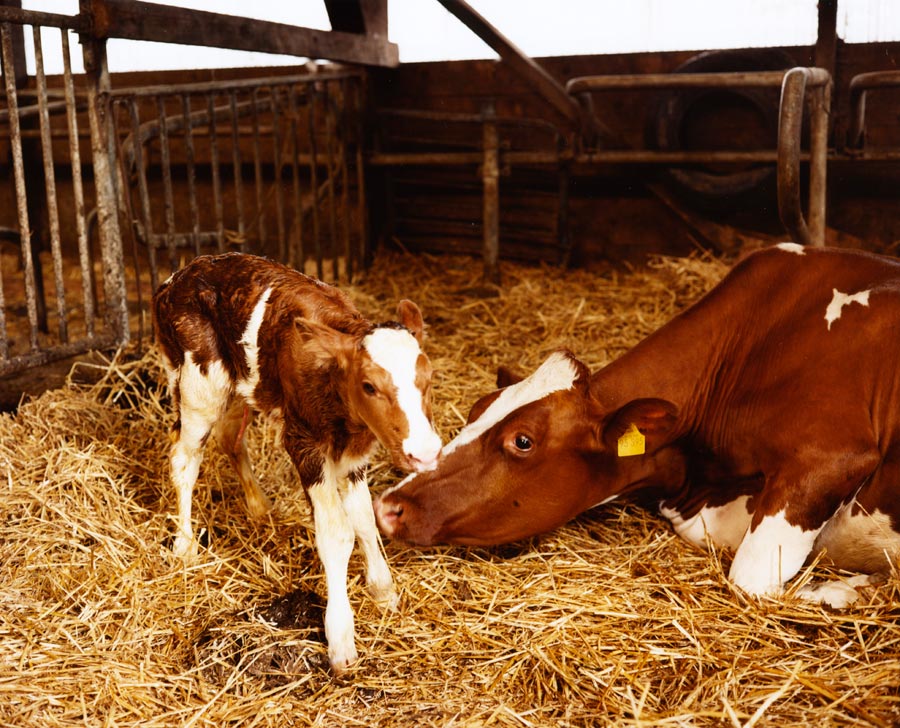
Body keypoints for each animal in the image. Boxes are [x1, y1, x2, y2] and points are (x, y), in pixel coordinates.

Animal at [154, 253, 442, 672]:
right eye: (369, 386)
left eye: (429, 378)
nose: (425, 452)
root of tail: (176, 277)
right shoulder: (303, 443)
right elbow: (337, 532)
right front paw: (341, 639)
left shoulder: (353, 455)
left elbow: (364, 520)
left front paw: (383, 591)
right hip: (198, 384)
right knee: (184, 458)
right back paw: (185, 545)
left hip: (240, 384)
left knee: (230, 437)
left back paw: (258, 508)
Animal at [372, 245, 900, 608]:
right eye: (477, 408)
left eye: (522, 440)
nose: (388, 506)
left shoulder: (833, 455)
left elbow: (750, 580)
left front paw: (852, 587)